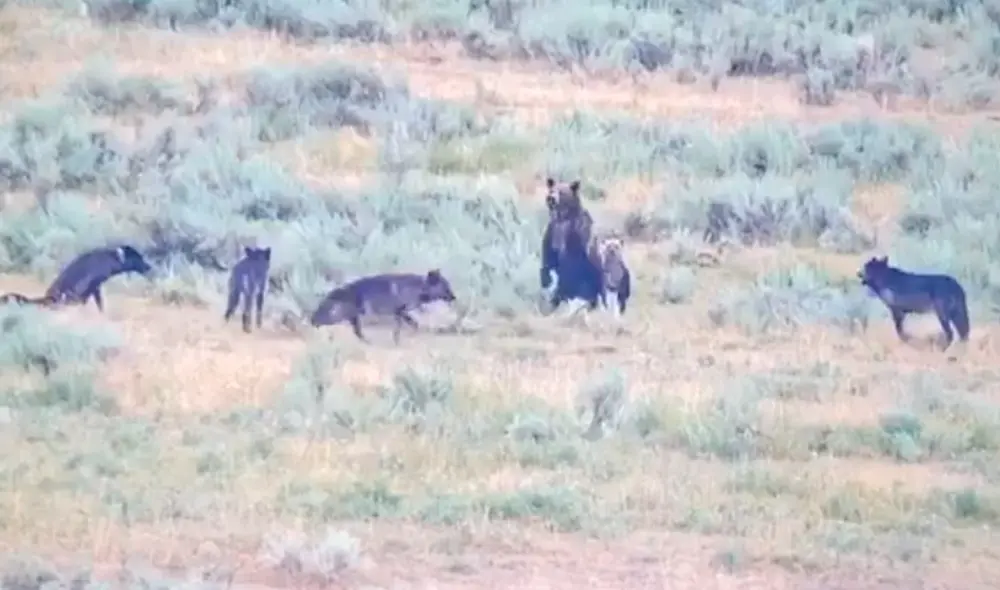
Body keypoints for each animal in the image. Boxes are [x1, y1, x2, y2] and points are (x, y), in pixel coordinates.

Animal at [0, 245, 152, 312]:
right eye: (137, 258)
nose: (148, 266)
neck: (109, 258)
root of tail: (47, 297)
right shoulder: (92, 286)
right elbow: (95, 301)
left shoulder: (94, 287)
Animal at [309, 270, 457, 344]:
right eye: (446, 287)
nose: (454, 297)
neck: (420, 287)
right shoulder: (399, 311)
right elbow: (405, 327)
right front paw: (400, 340)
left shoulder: (401, 312)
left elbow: (412, 325)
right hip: (337, 317)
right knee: (318, 321)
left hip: (352, 318)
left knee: (357, 333)